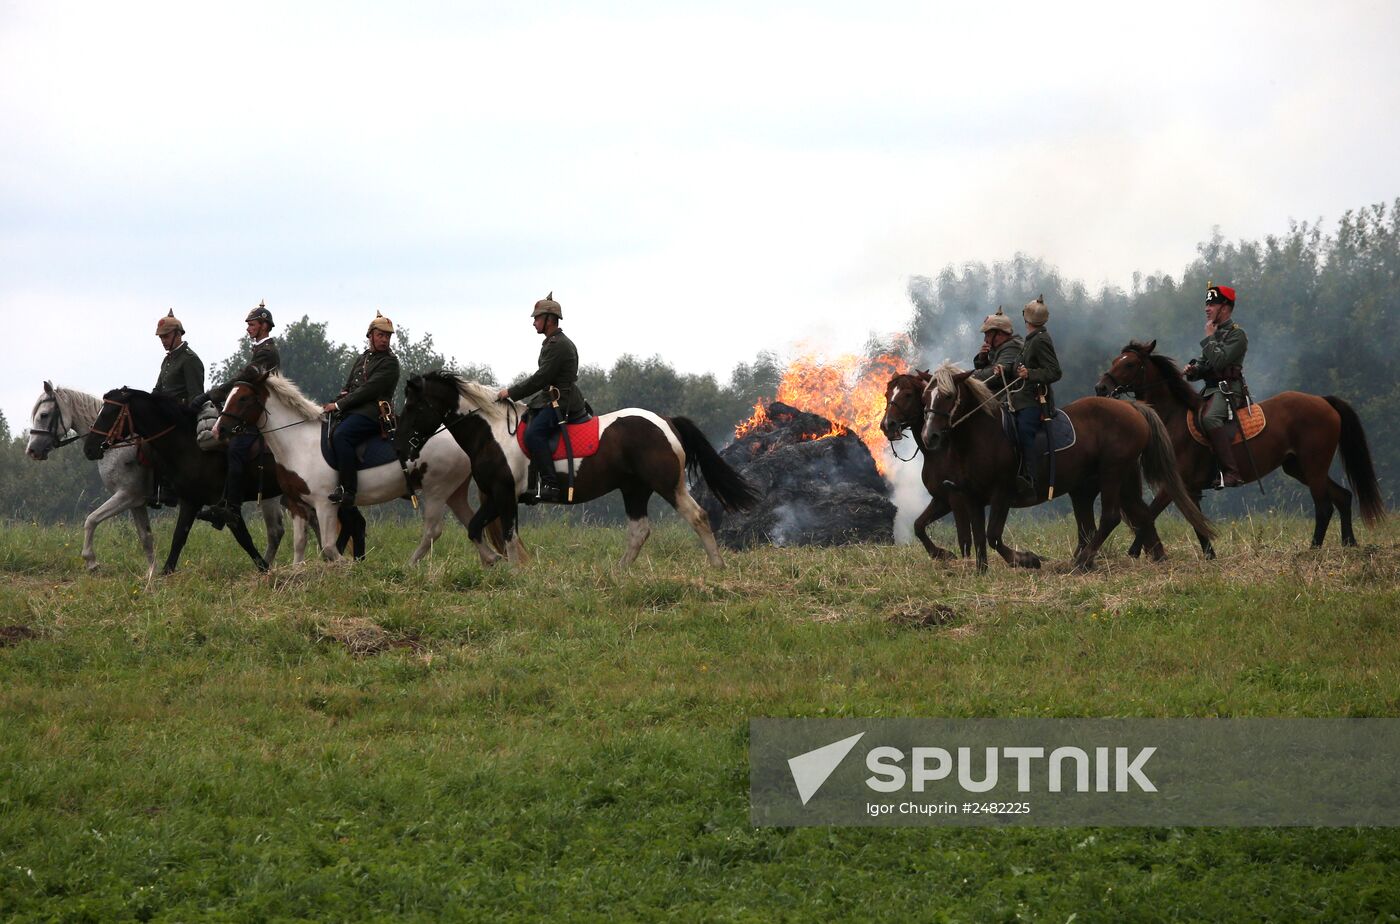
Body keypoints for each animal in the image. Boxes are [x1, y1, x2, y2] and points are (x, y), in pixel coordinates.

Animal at [25, 378, 285, 574]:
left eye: (44, 415)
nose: (32, 451)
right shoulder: (136, 502)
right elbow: (146, 537)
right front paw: (151, 574)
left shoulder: (127, 496)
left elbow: (92, 519)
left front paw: (91, 561)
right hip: (269, 495)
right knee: (276, 532)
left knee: (274, 531)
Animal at [400, 372, 761, 565]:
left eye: (414, 405)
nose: (402, 445)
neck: (493, 432)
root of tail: (666, 421)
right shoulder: (497, 495)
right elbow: (477, 528)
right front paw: (494, 561)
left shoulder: (504, 494)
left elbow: (507, 535)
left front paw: (511, 571)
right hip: (634, 489)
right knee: (639, 530)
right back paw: (619, 572)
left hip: (667, 485)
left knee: (697, 516)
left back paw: (717, 565)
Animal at [912, 361, 1209, 571]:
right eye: (925, 398)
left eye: (948, 396)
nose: (930, 436)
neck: (982, 435)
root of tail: (1133, 409)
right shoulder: (971, 497)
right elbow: (978, 537)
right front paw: (980, 571)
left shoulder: (1001, 494)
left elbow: (993, 535)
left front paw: (1027, 559)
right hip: (1114, 481)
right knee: (1140, 513)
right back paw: (1155, 557)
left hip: (1112, 474)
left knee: (1110, 517)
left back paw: (1081, 562)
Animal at [1092, 341, 1377, 551]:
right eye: (1116, 361)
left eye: (1129, 363)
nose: (1100, 387)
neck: (1172, 418)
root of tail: (1323, 401)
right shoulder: (1191, 489)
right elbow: (1198, 525)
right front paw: (1209, 557)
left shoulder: (1174, 485)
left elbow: (1149, 516)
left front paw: (1134, 554)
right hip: (1298, 467)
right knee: (1343, 496)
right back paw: (1349, 544)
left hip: (1313, 466)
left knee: (1324, 506)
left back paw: (1314, 549)